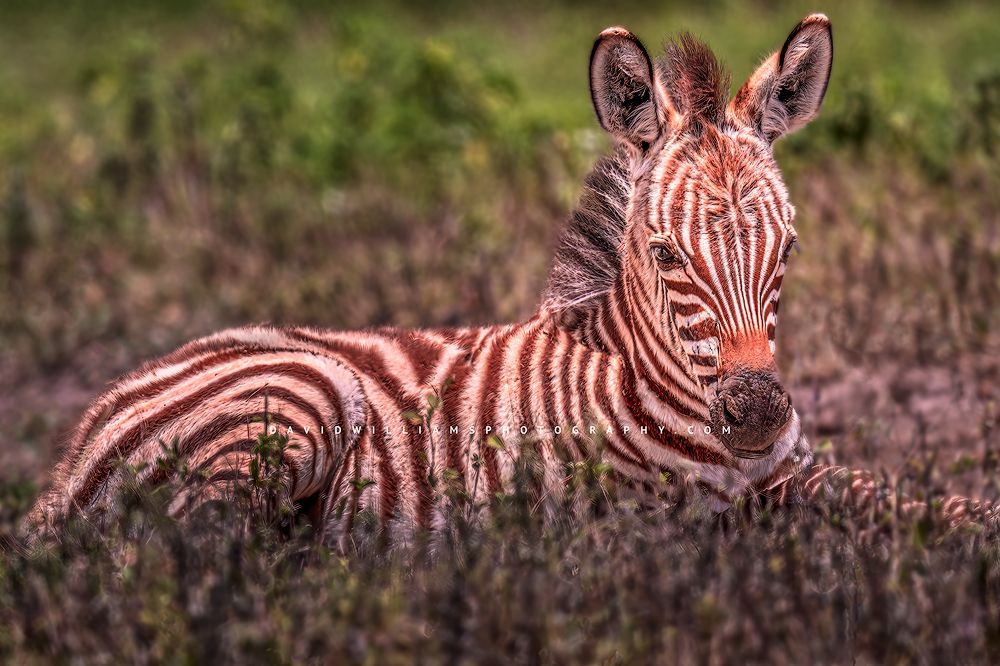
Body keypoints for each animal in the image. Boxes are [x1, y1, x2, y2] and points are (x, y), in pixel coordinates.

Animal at [25, 14, 994, 541]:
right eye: (666, 255)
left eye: (787, 250)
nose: (755, 412)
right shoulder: (662, 521)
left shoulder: (793, 478)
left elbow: (924, 503)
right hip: (299, 400)